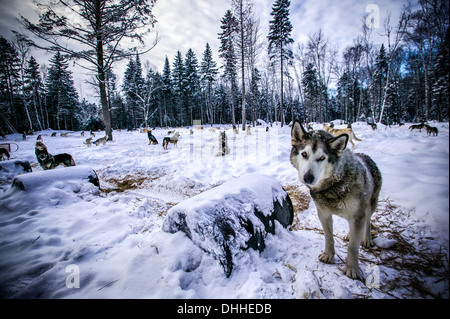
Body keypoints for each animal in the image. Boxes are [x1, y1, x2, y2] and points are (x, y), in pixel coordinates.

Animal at [290, 121, 382, 282]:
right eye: (304, 154)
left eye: (322, 158)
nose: (308, 178)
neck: (334, 185)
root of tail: (365, 156)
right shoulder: (323, 214)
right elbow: (328, 237)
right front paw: (328, 255)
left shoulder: (358, 217)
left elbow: (353, 247)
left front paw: (352, 269)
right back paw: (349, 234)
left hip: (370, 206)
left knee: (368, 221)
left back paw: (366, 239)